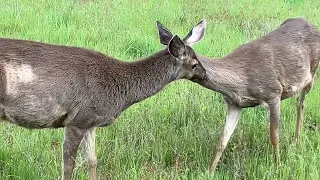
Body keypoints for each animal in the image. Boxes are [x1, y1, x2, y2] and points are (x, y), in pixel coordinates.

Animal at [0, 20, 208, 179]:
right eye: (194, 63)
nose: (205, 74)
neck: (118, 94)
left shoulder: (91, 122)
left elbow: (92, 161)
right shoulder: (78, 119)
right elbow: (68, 167)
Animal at [162, 17, 320, 173]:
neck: (241, 80)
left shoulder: (273, 93)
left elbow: (274, 136)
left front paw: (278, 166)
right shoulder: (234, 104)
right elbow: (222, 142)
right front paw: (209, 171)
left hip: (311, 75)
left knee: (301, 104)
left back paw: (297, 140)